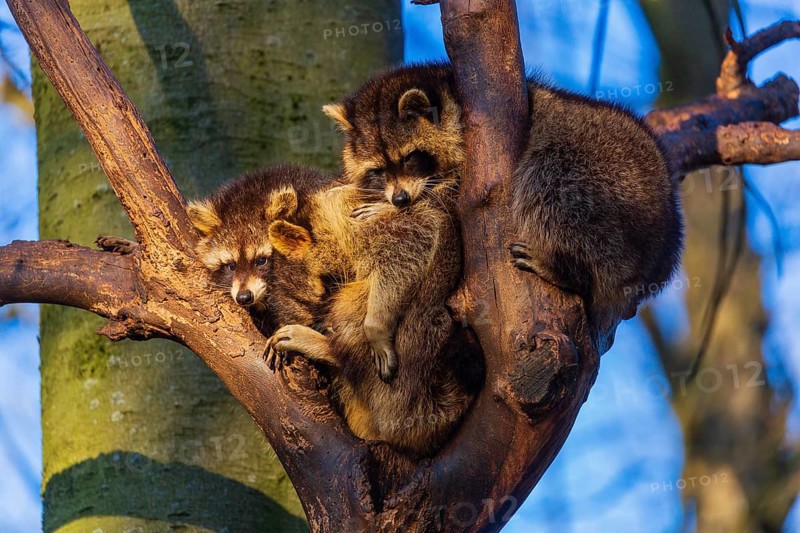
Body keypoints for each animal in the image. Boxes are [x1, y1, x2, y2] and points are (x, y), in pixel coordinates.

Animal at [321, 62, 684, 332]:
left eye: (410, 158)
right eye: (379, 170)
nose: (399, 200)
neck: (451, 97)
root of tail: (662, 254)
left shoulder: (475, 160)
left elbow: (453, 198)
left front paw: (391, 207)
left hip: (612, 191)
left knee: (549, 176)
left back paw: (569, 271)